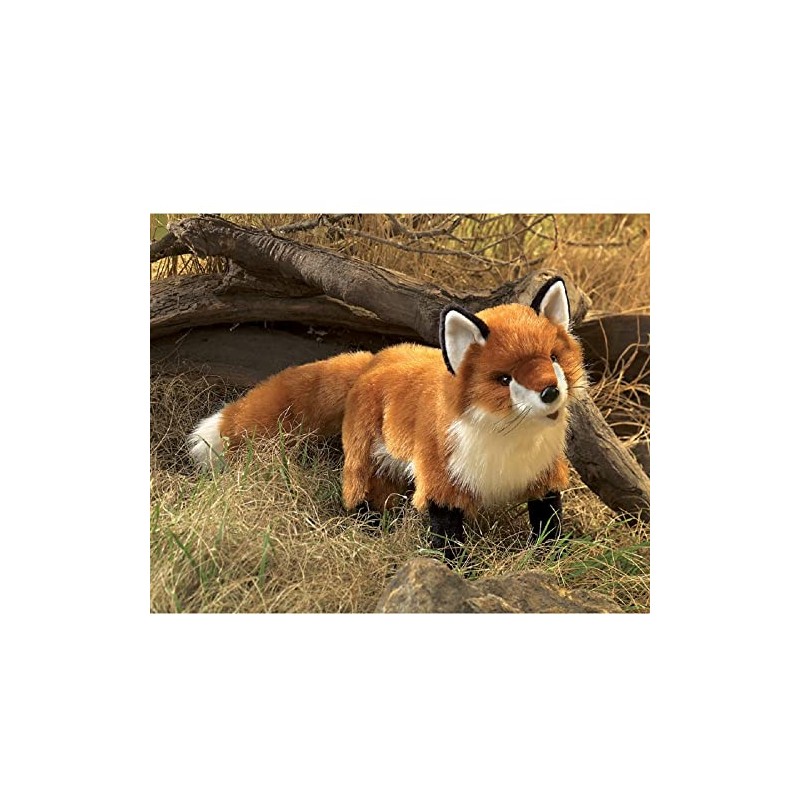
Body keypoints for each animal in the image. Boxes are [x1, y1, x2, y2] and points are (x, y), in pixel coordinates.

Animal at [188, 276, 586, 561]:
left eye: (553, 358)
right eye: (505, 379)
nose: (550, 392)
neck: (509, 447)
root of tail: (375, 358)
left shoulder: (544, 476)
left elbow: (548, 522)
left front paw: (553, 559)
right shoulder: (441, 481)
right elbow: (448, 536)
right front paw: (460, 571)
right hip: (365, 462)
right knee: (358, 498)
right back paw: (370, 528)